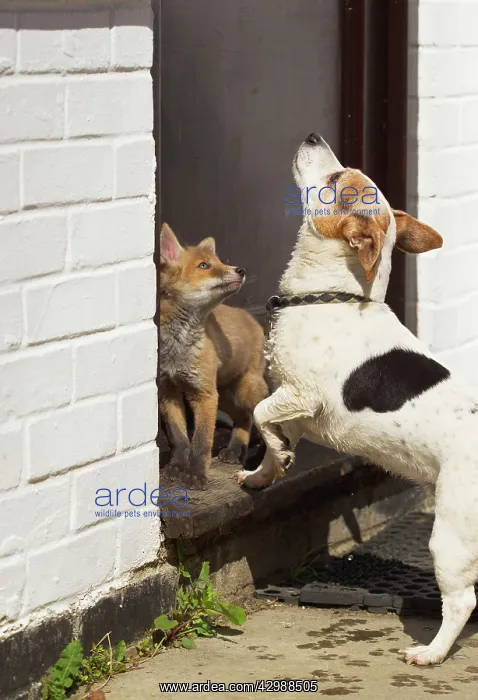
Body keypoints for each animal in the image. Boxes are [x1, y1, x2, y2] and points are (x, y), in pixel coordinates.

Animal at [159, 223, 269, 488]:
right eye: (204, 265)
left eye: (218, 261)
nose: (241, 270)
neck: (179, 346)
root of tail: (250, 317)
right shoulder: (168, 391)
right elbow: (179, 438)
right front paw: (177, 466)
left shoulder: (204, 395)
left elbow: (201, 442)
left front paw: (196, 474)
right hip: (227, 395)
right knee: (243, 418)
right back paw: (236, 448)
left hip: (244, 391)